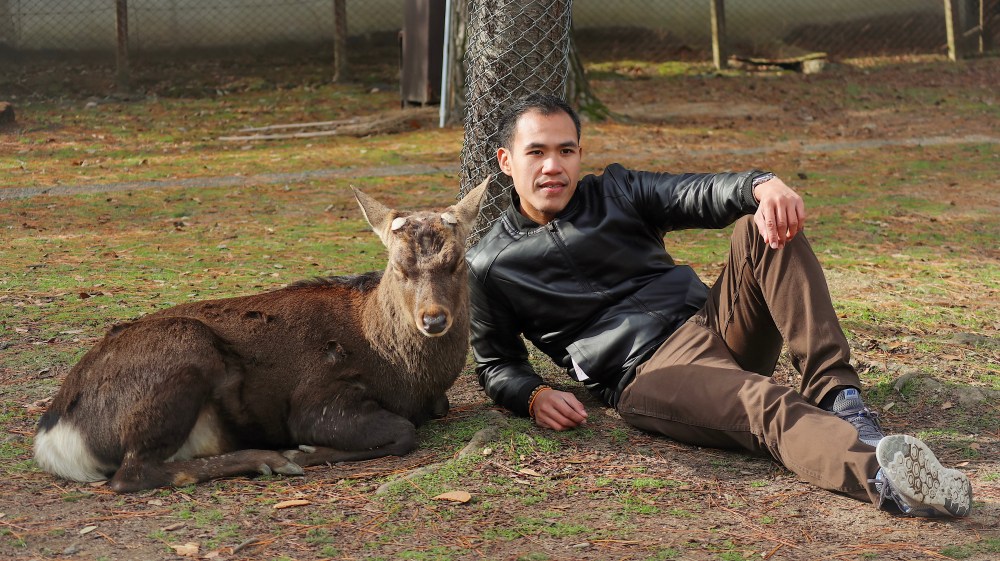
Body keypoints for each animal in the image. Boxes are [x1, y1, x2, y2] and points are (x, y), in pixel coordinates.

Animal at [33, 180, 489, 493]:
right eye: (398, 266)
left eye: (457, 262)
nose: (433, 319)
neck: (402, 374)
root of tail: (53, 437)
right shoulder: (317, 399)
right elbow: (403, 430)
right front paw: (302, 451)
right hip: (186, 346)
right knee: (131, 474)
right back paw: (270, 459)